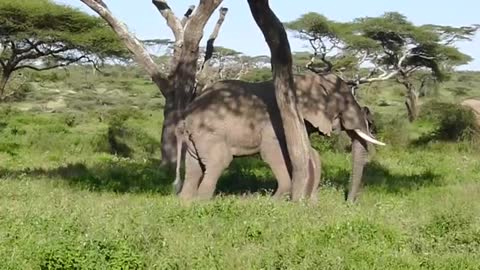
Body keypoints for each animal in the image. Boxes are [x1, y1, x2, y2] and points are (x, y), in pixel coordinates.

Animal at [171, 73, 384, 201]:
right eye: (345, 102)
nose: (349, 202)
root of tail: (185, 120)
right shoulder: (277, 122)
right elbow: (275, 153)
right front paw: (277, 200)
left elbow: (308, 153)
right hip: (210, 134)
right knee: (218, 163)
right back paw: (203, 202)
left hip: (197, 139)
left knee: (193, 167)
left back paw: (185, 202)